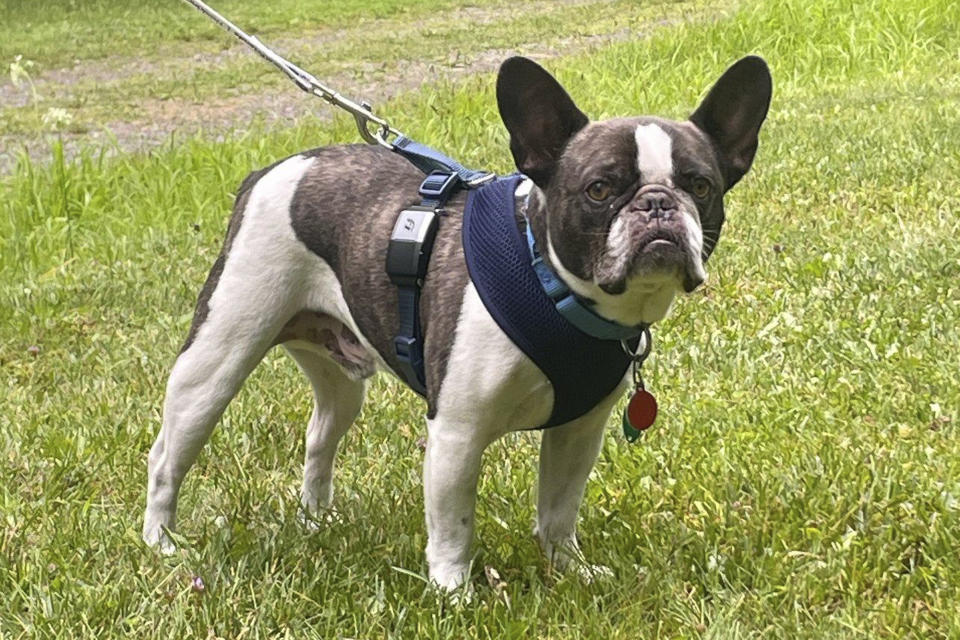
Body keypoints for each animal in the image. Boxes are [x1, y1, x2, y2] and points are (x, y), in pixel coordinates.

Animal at [142, 55, 772, 592]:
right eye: (599, 189)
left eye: (701, 186)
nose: (659, 204)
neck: (554, 288)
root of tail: (269, 171)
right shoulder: (458, 431)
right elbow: (453, 521)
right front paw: (453, 593)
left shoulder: (579, 431)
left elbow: (559, 509)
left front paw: (568, 569)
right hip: (217, 358)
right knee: (167, 456)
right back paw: (162, 543)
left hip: (340, 381)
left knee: (320, 437)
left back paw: (317, 521)